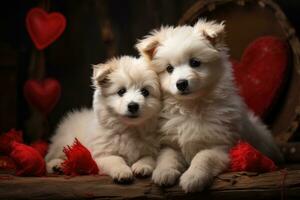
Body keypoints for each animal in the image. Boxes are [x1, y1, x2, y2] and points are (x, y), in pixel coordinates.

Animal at [137, 19, 284, 192]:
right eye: (169, 69)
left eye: (195, 63)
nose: (181, 83)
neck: (192, 106)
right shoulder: (171, 142)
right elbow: (168, 156)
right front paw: (164, 172)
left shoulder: (221, 147)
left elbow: (203, 157)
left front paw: (193, 177)